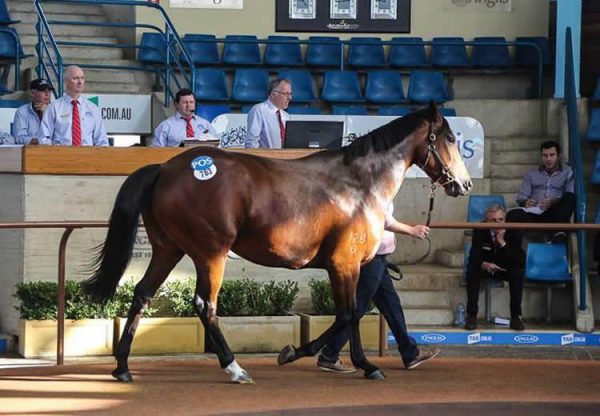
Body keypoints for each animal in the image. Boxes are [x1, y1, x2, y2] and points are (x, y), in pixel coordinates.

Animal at [82, 102, 472, 386]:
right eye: (451, 138)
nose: (464, 184)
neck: (361, 183)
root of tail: (164, 169)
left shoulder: (353, 266)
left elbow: (355, 313)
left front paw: (347, 360)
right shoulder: (343, 264)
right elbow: (348, 314)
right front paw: (313, 356)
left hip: (168, 249)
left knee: (142, 294)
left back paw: (122, 367)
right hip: (211, 253)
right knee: (205, 305)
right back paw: (235, 368)